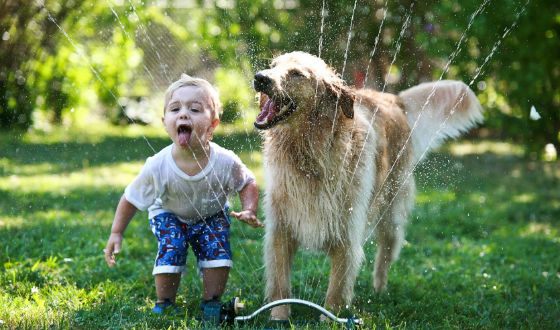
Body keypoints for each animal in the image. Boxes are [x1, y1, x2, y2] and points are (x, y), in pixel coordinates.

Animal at [253, 51, 482, 320]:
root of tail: (393, 98)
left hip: (391, 210)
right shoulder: (280, 229)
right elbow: (280, 283)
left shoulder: (347, 233)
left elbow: (336, 289)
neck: (309, 153)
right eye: (273, 66)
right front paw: (278, 317)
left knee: (387, 252)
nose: (260, 77)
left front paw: (330, 318)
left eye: (297, 74)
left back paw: (379, 289)